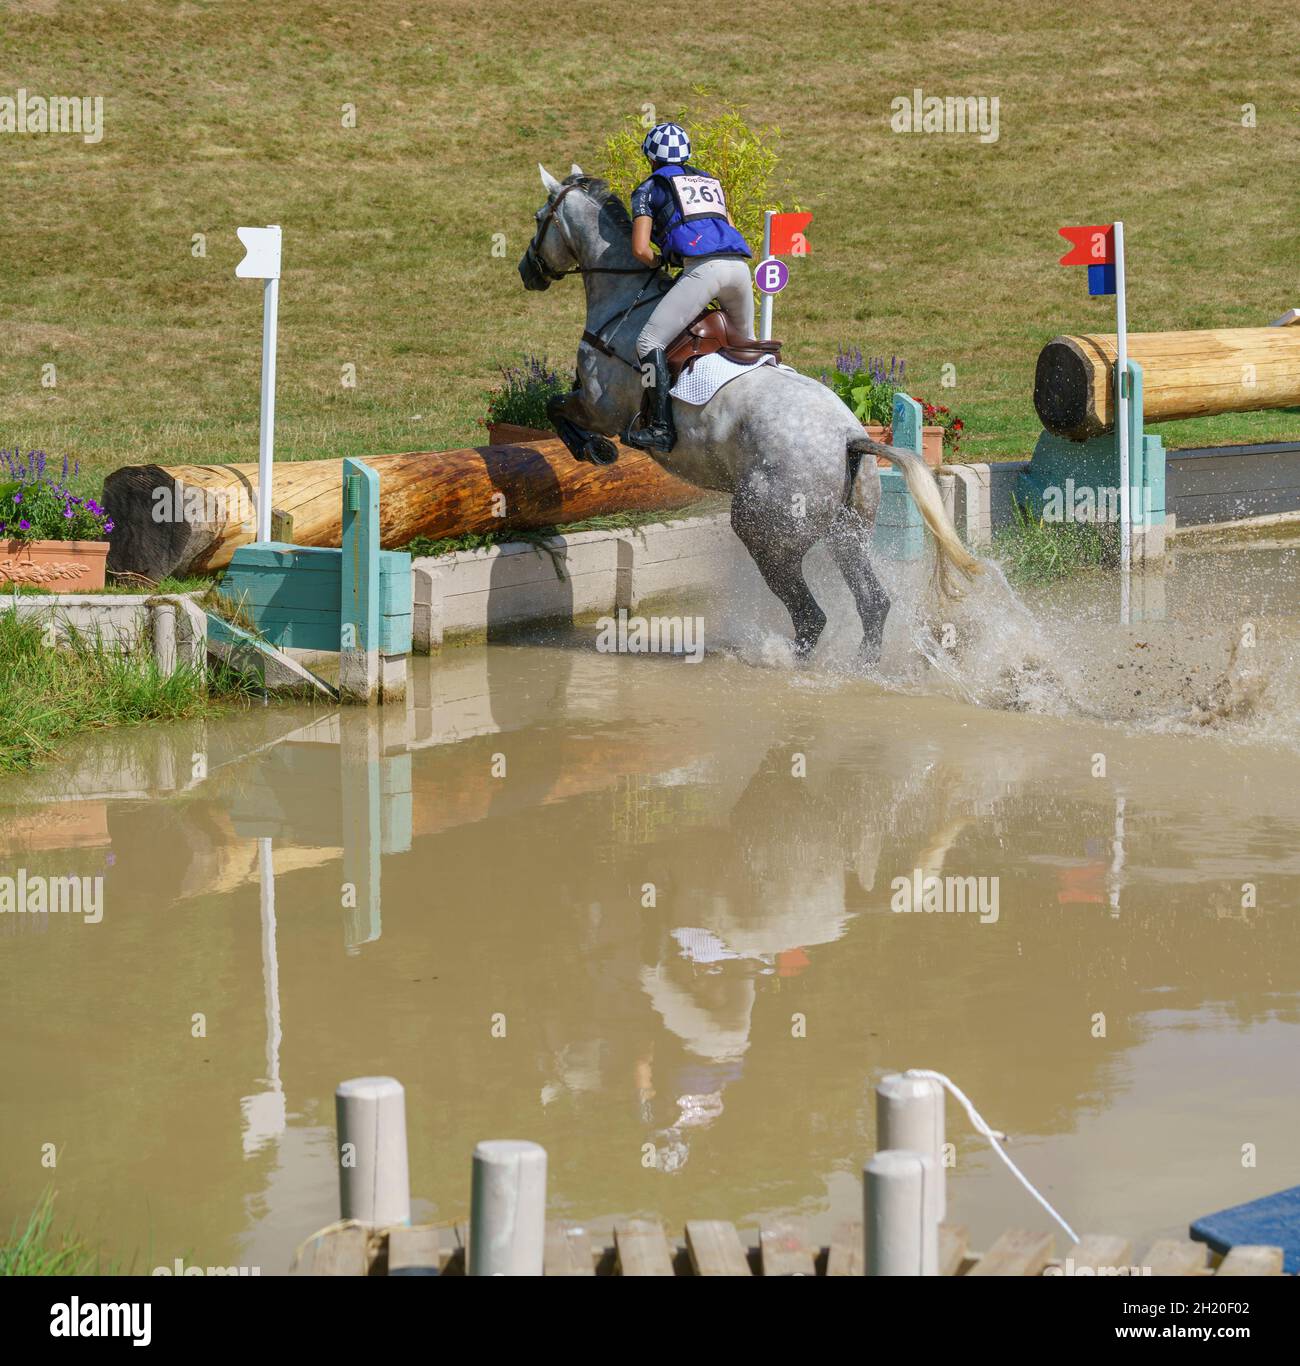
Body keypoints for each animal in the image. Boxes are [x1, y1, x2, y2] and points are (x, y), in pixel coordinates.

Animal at [518, 168, 972, 658]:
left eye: (539, 218)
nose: (527, 271)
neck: (624, 297)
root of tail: (849, 437)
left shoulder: (600, 405)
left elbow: (556, 408)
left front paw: (594, 451)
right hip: (847, 533)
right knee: (871, 602)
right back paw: (861, 667)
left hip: (765, 530)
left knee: (809, 614)